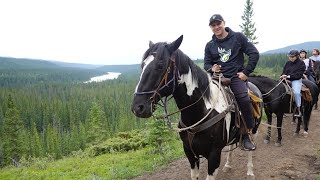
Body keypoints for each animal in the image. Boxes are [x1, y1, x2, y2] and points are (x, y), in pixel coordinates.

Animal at [132, 35, 262, 179]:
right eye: (142, 65)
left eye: (160, 65)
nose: (138, 107)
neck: (199, 112)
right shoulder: (189, 153)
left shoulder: (214, 155)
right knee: (230, 148)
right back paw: (228, 165)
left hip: (254, 130)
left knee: (250, 148)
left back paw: (250, 171)